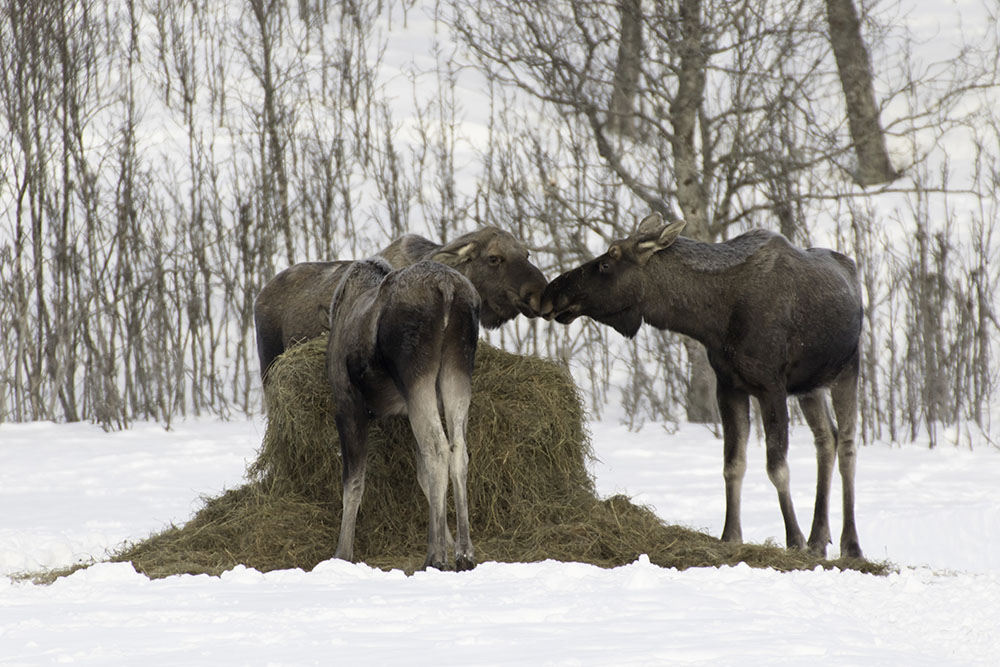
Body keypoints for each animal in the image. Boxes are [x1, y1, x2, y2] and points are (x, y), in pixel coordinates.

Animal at [326, 258, 478, 572]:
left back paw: (435, 557)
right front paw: (448, 540)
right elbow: (422, 477)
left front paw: (342, 553)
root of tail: (447, 288)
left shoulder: (348, 405)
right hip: (457, 370)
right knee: (458, 450)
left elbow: (353, 483)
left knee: (438, 450)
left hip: (415, 375)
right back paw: (464, 554)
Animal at [544, 213, 864, 560]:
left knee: (847, 446)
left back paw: (850, 545)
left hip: (847, 369)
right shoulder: (729, 386)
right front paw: (730, 536)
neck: (712, 320)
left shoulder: (771, 386)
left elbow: (777, 467)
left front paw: (793, 540)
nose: (551, 292)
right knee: (827, 439)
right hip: (810, 385)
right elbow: (732, 465)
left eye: (607, 262)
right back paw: (818, 540)